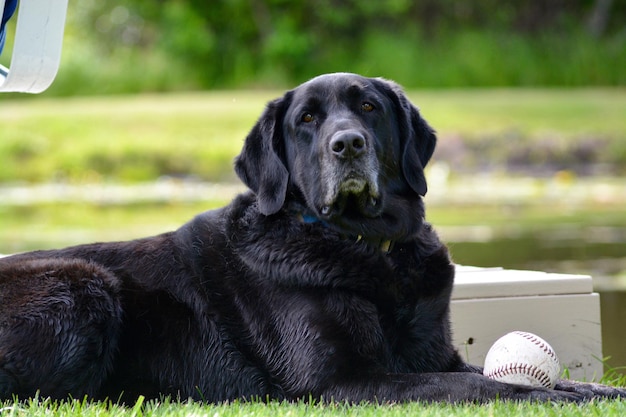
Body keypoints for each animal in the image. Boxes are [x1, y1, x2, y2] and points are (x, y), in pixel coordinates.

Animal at [0, 73, 620, 402]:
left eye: (368, 106)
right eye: (305, 120)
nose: (347, 144)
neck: (369, 250)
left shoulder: (436, 354)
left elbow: (532, 380)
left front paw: (596, 392)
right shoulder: (340, 381)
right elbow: (489, 387)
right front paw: (540, 394)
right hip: (85, 285)